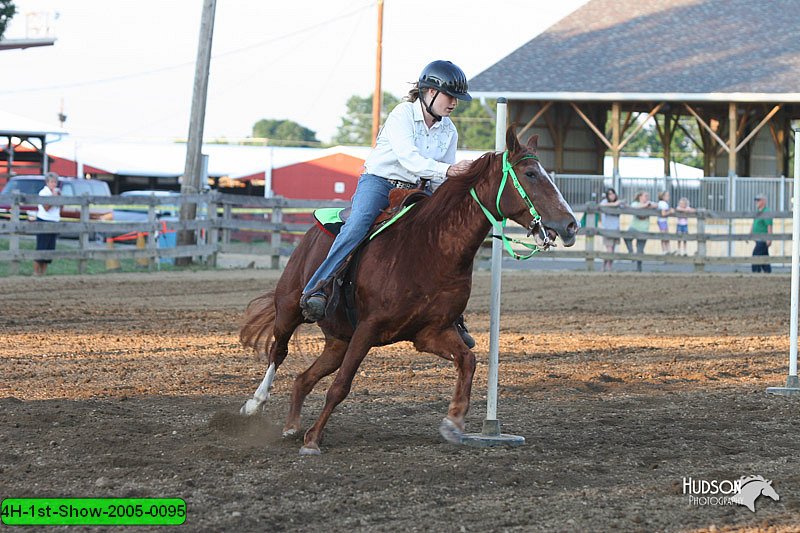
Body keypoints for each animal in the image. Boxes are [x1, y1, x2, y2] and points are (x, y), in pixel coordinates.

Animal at [241, 128, 580, 454]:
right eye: (530, 174)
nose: (570, 225)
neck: (429, 247)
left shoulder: (430, 332)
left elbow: (468, 361)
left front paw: (453, 423)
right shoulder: (368, 327)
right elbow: (341, 386)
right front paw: (312, 441)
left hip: (339, 340)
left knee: (303, 378)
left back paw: (291, 426)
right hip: (290, 308)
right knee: (279, 352)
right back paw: (255, 405)